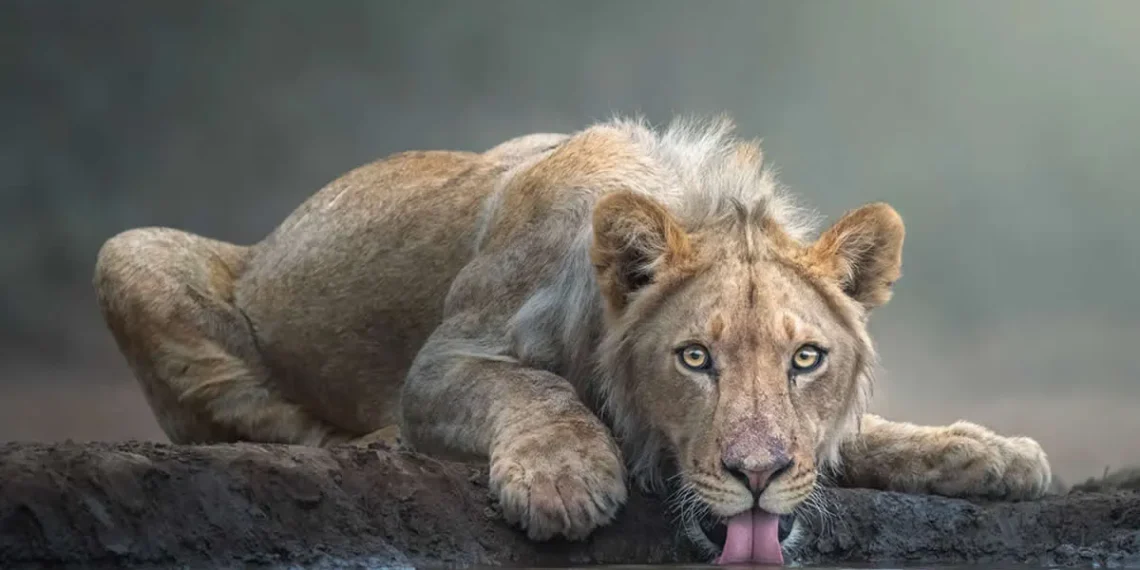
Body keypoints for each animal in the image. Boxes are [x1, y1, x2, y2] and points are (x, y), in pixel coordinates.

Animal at [94, 116, 1052, 565]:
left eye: (806, 359)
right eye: (694, 359)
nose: (757, 475)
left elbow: (861, 435)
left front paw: (987, 452)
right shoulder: (443, 363)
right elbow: (529, 387)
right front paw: (565, 480)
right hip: (124, 253)